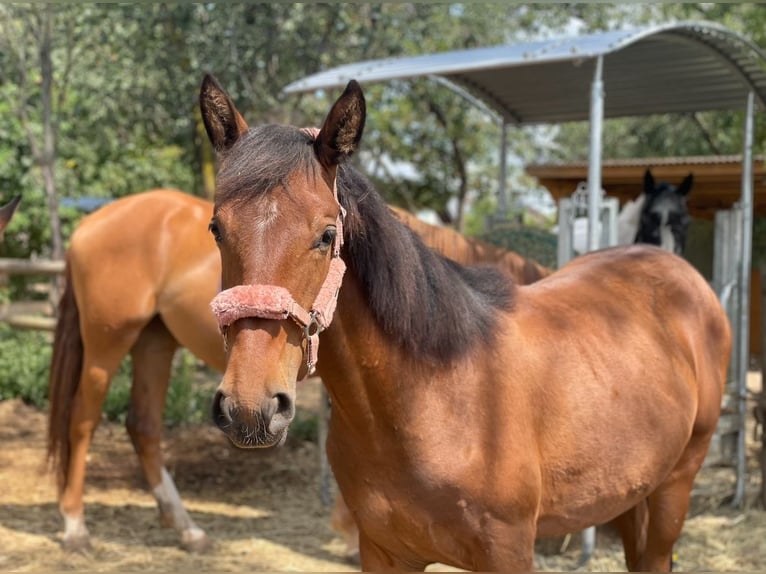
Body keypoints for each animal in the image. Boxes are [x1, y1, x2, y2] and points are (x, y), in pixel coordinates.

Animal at [46, 189, 552, 552]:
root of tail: (91, 223)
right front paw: (348, 534)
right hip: (107, 343)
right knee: (82, 421)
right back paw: (74, 527)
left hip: (155, 342)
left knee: (143, 427)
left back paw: (186, 529)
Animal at [202, 74, 732, 572]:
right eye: (216, 228)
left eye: (327, 234)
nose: (250, 408)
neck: (431, 397)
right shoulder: (382, 552)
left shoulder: (508, 553)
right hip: (628, 491)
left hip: (675, 486)